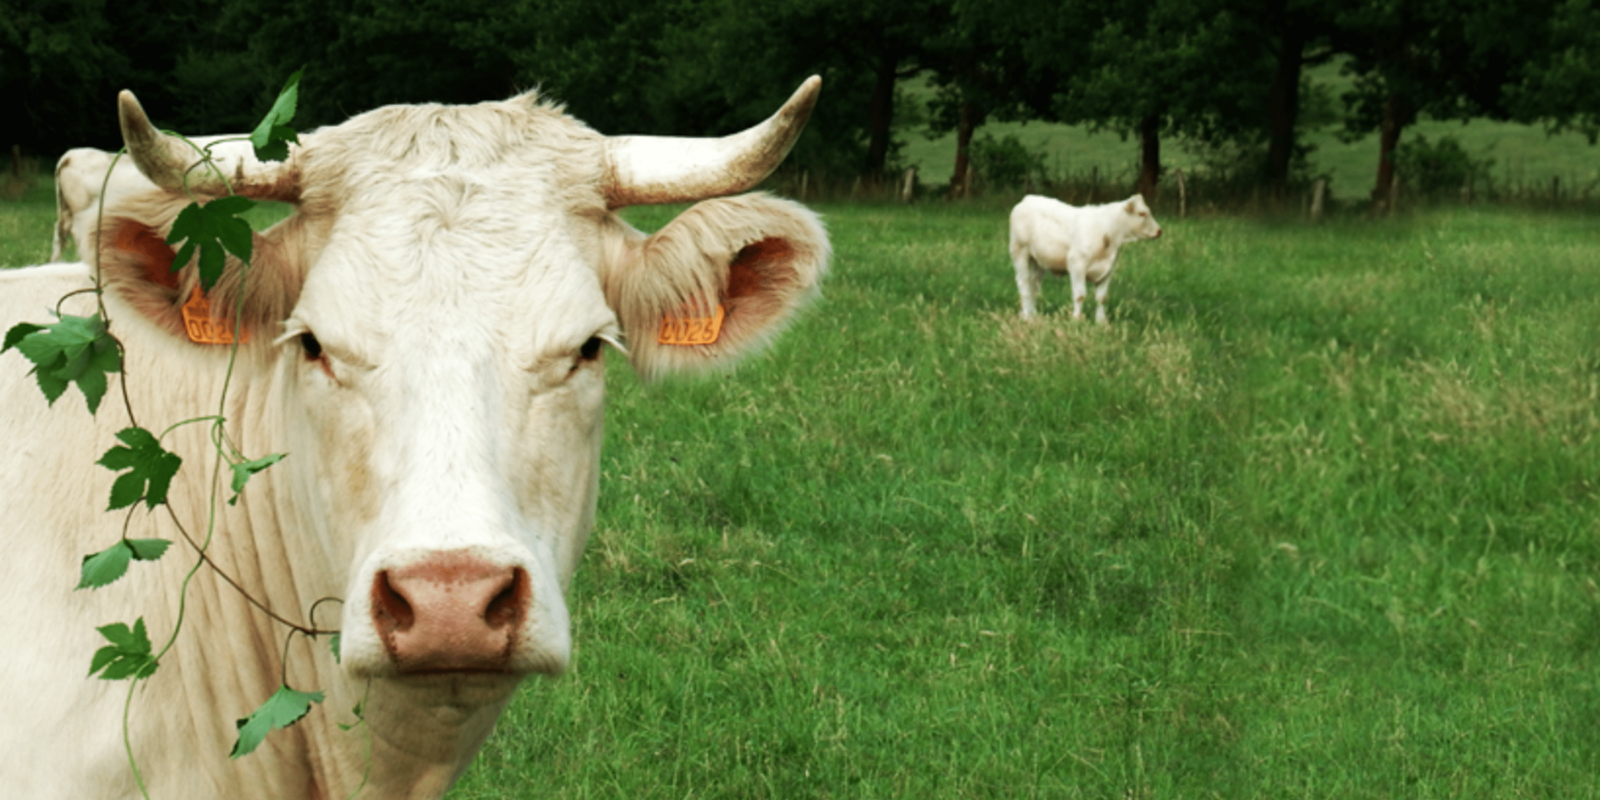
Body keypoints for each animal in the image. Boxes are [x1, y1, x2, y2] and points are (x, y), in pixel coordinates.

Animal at [1008, 193, 1162, 322]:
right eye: (1142, 213)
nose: (1159, 231)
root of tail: (1027, 199)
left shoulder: (1108, 270)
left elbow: (1101, 297)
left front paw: (1101, 321)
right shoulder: (1077, 264)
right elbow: (1080, 295)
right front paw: (1077, 319)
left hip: (1038, 261)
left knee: (1034, 285)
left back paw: (1032, 314)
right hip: (1019, 251)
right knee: (1024, 283)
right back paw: (1027, 316)